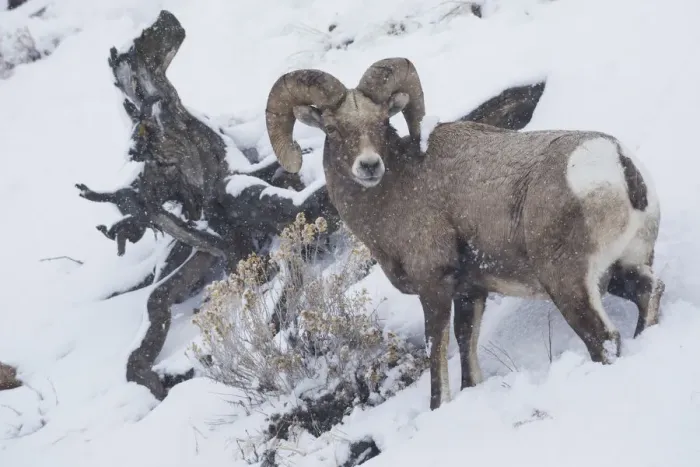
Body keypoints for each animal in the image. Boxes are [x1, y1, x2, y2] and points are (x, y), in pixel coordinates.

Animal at [265, 57, 665, 410]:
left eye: (381, 121)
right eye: (332, 128)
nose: (369, 165)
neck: (396, 192)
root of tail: (617, 164)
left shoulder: (435, 287)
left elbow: (437, 353)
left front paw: (437, 408)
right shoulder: (471, 291)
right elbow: (466, 350)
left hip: (568, 283)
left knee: (603, 338)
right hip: (623, 267)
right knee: (649, 291)